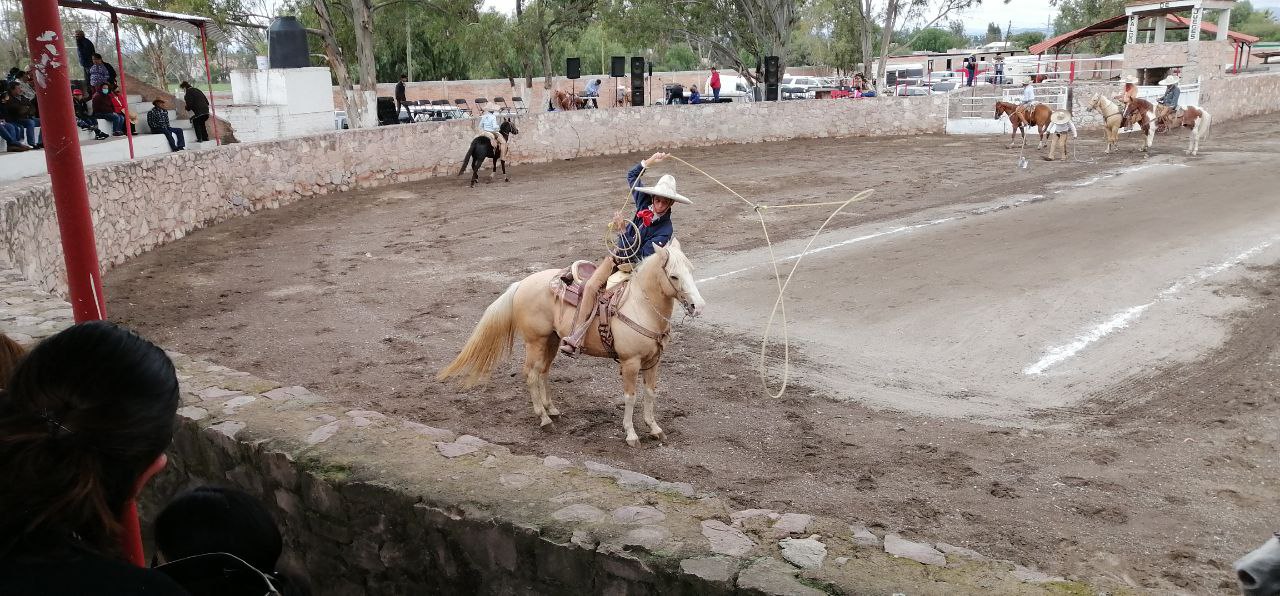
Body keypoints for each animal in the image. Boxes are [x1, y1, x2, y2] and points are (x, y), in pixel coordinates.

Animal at [437, 239, 701, 445]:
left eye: (691, 269)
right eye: (674, 275)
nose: (698, 306)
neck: (639, 306)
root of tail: (522, 284)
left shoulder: (653, 361)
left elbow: (650, 393)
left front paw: (654, 428)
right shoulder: (630, 363)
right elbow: (630, 397)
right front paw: (631, 434)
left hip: (552, 340)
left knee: (543, 372)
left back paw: (551, 410)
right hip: (535, 341)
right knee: (531, 374)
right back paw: (543, 419)